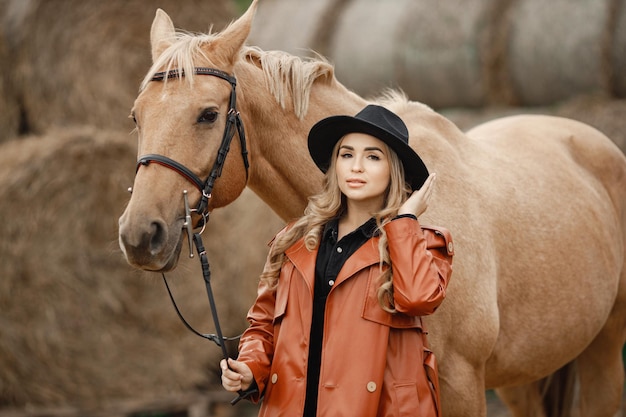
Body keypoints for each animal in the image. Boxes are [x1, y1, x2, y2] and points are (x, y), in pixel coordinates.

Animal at [118, 1, 624, 414]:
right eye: (137, 116)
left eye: (207, 115)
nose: (139, 234)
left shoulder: (462, 383)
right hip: (525, 377)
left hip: (604, 350)